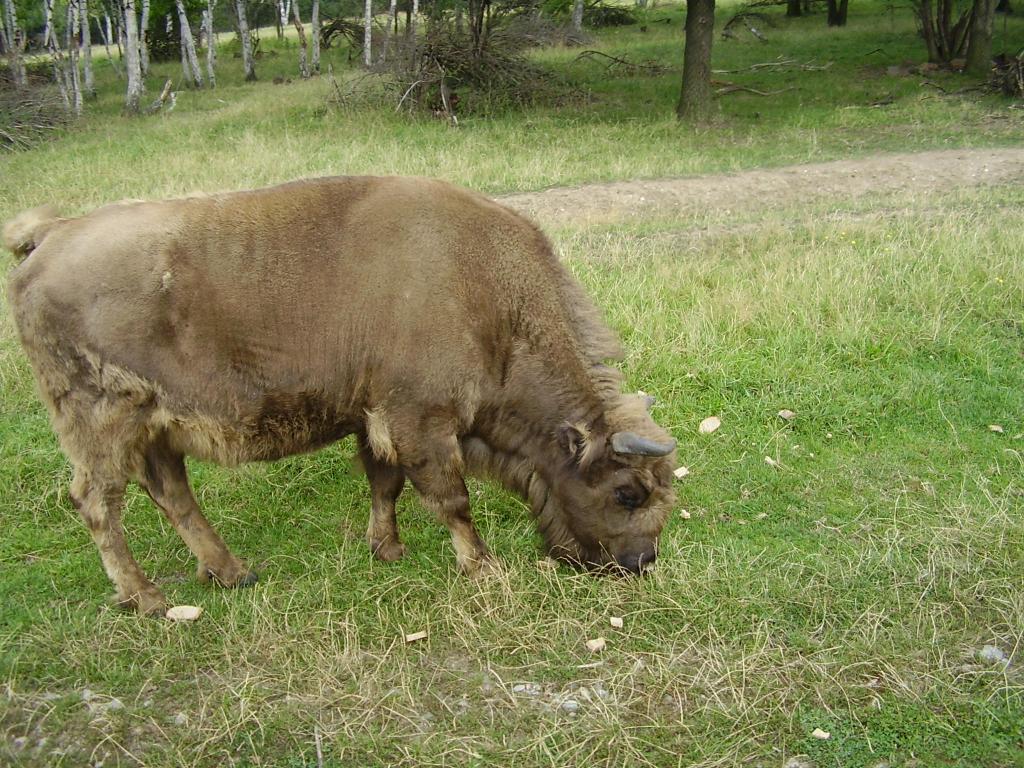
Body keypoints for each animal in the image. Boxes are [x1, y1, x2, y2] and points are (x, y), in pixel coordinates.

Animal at [4, 176, 677, 616]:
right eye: (628, 492)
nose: (641, 562)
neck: (486, 293)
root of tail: (51, 235)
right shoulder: (420, 419)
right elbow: (451, 497)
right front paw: (483, 570)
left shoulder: (373, 418)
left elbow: (386, 484)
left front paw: (389, 550)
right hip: (102, 422)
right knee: (98, 502)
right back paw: (146, 597)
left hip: (156, 428)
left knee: (173, 494)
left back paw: (231, 573)